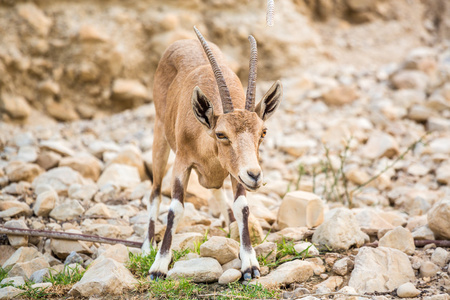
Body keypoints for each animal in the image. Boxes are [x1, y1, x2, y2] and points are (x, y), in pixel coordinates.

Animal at [142, 26, 282, 282]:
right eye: (221, 134)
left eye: (263, 132)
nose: (255, 175)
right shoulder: (182, 163)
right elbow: (175, 208)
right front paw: (159, 267)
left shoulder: (235, 172)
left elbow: (242, 206)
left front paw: (250, 264)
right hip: (160, 137)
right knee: (155, 191)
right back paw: (147, 247)